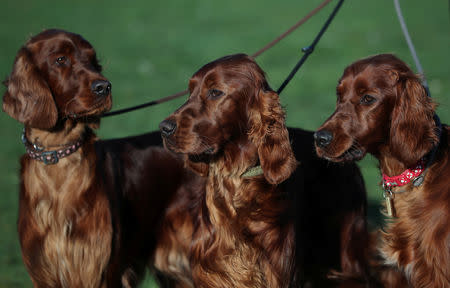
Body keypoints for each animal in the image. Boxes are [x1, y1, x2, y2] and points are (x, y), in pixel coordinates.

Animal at [2, 28, 199, 286]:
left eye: (93, 61)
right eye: (60, 59)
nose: (104, 87)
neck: (58, 158)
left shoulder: (100, 269)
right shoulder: (43, 271)